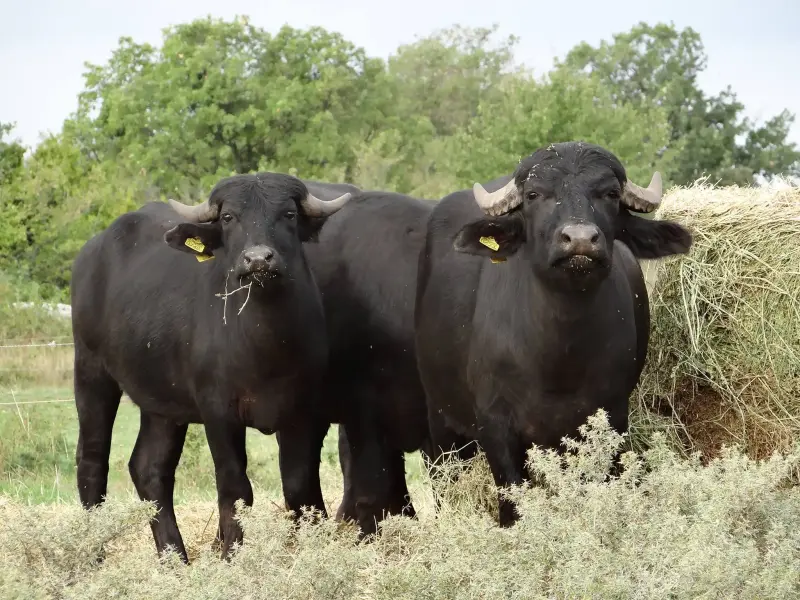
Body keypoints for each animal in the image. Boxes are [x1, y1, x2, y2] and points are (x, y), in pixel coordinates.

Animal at [70, 171, 352, 560]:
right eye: (229, 217)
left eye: (289, 214)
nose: (258, 259)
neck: (265, 345)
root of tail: (91, 254)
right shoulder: (218, 411)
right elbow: (235, 487)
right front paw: (231, 553)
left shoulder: (304, 412)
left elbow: (300, 486)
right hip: (91, 371)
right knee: (92, 459)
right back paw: (92, 550)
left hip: (163, 405)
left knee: (149, 468)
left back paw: (174, 557)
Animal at [412, 142, 692, 524]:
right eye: (534, 195)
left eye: (610, 193)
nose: (580, 240)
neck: (559, 357)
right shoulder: (495, 425)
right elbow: (512, 502)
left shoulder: (611, 417)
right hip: (441, 419)